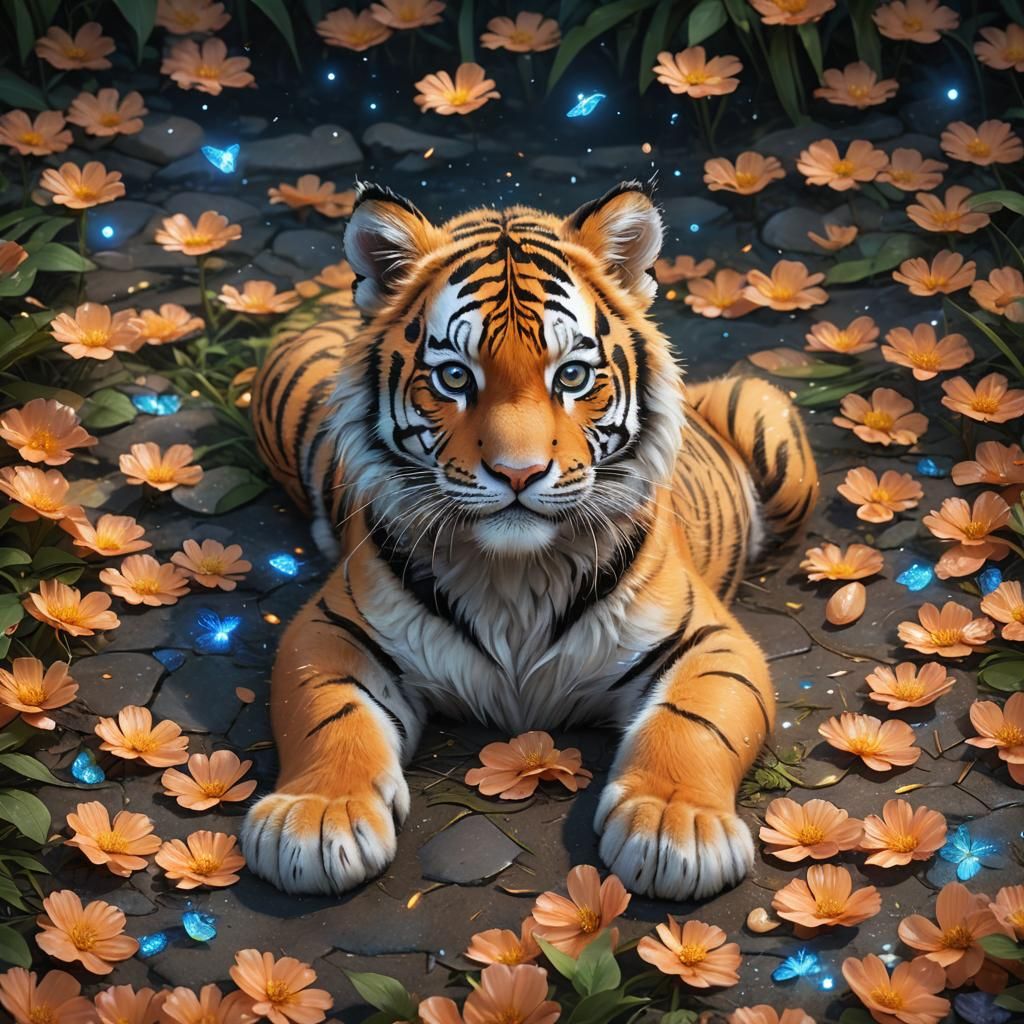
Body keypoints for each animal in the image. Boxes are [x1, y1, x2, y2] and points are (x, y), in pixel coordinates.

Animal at [240, 180, 818, 902]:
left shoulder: (707, 638)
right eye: (455, 378)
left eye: (571, 377)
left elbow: (693, 719)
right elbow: (328, 715)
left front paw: (675, 827)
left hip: (765, 417)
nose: (518, 473)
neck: (513, 577)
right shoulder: (327, 630)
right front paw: (318, 819)